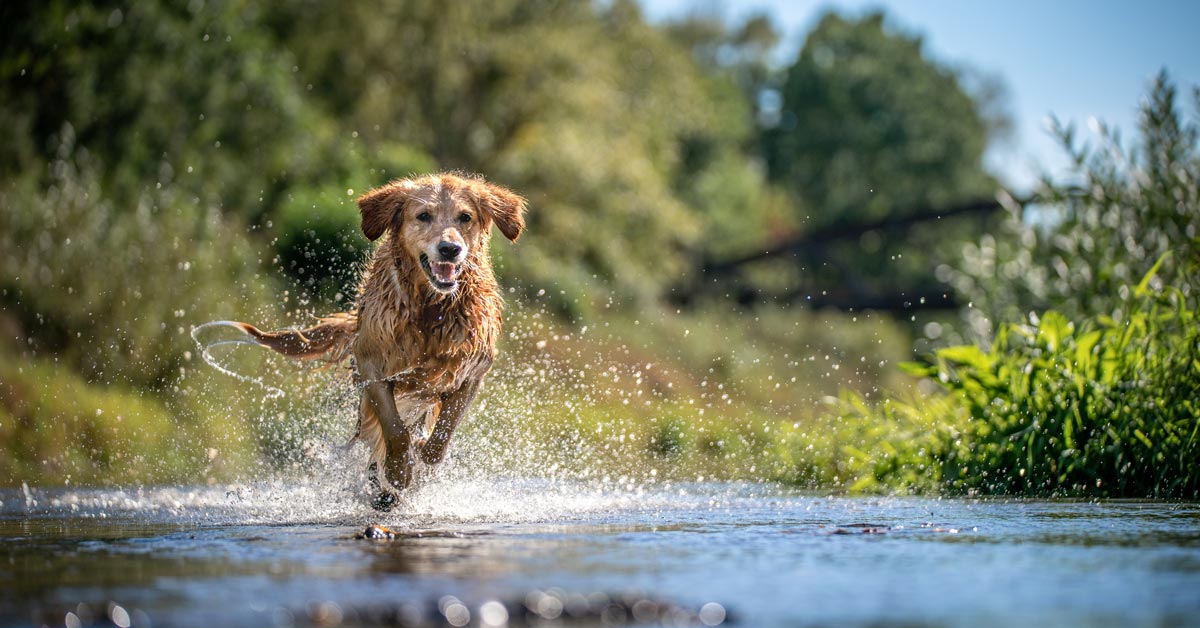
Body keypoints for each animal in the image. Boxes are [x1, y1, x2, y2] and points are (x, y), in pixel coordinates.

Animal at [226, 172, 523, 511]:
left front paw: (421, 461)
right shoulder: (372, 366)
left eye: (465, 217)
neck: (431, 309)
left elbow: (441, 435)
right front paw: (397, 470)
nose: (450, 248)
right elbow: (394, 428)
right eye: (424, 216)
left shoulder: (472, 372)